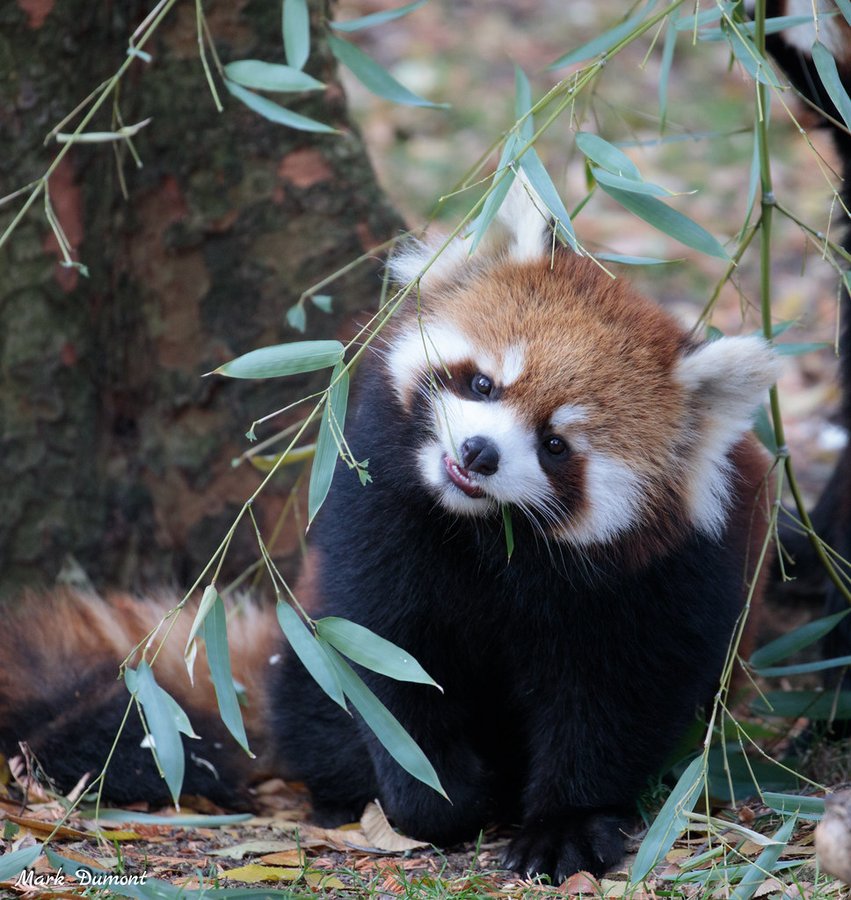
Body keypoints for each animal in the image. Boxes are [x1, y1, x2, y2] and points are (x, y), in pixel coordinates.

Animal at [270, 181, 784, 880]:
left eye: (554, 444)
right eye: (483, 383)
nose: (479, 452)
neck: (489, 535)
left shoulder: (662, 582)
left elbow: (613, 704)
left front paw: (563, 827)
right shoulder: (377, 515)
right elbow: (385, 657)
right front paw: (435, 793)